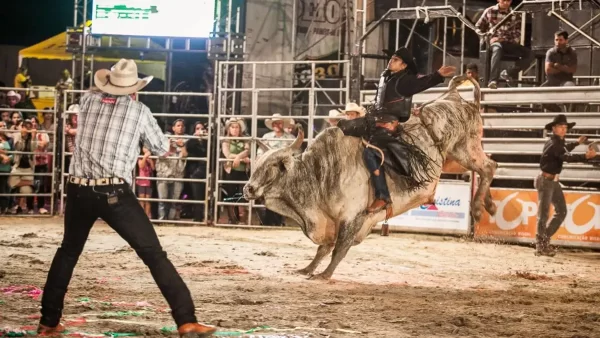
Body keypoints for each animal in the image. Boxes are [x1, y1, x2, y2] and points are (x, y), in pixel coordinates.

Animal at [243, 74, 496, 280]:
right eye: (256, 164)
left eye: (273, 166)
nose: (249, 189)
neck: (320, 174)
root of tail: (457, 98)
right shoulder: (330, 220)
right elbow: (324, 247)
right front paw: (307, 269)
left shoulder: (353, 216)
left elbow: (339, 247)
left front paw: (325, 274)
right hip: (457, 157)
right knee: (488, 167)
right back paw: (489, 206)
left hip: (465, 149)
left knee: (489, 167)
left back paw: (478, 209)